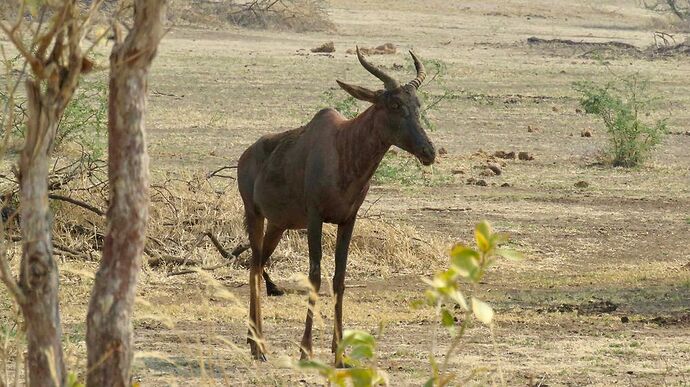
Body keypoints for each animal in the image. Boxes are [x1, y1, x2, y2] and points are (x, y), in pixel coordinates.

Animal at [234, 47, 432, 366]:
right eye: (394, 104)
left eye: (417, 104)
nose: (429, 151)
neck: (343, 146)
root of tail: (246, 155)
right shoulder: (315, 219)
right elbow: (315, 276)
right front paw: (305, 351)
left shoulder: (347, 220)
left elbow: (339, 278)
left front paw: (340, 355)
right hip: (254, 214)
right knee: (253, 268)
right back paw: (259, 347)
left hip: (278, 224)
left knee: (258, 264)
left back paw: (254, 343)